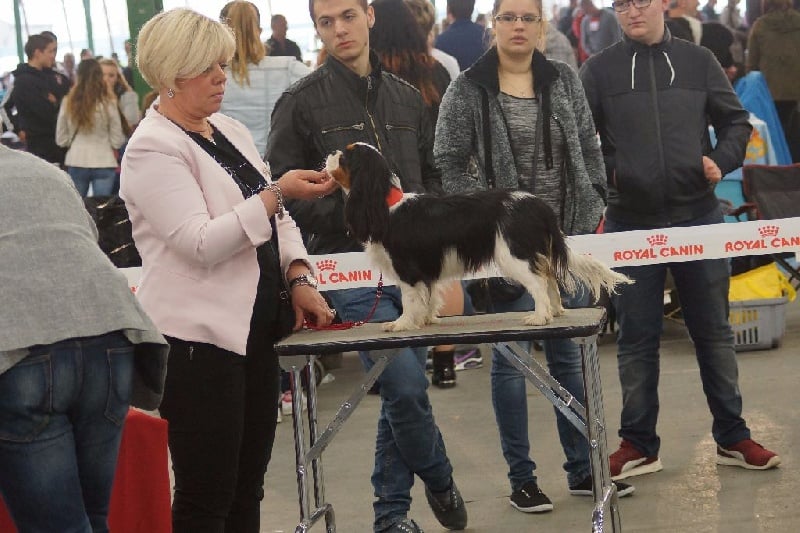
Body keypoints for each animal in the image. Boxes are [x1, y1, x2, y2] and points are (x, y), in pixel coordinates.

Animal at [325, 142, 631, 332]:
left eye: (345, 157)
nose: (331, 152)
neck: (385, 203)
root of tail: (538, 205)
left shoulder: (408, 270)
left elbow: (410, 298)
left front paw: (402, 323)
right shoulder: (427, 268)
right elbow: (428, 296)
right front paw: (426, 319)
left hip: (513, 256)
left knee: (537, 283)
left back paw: (539, 317)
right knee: (549, 280)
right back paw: (554, 312)